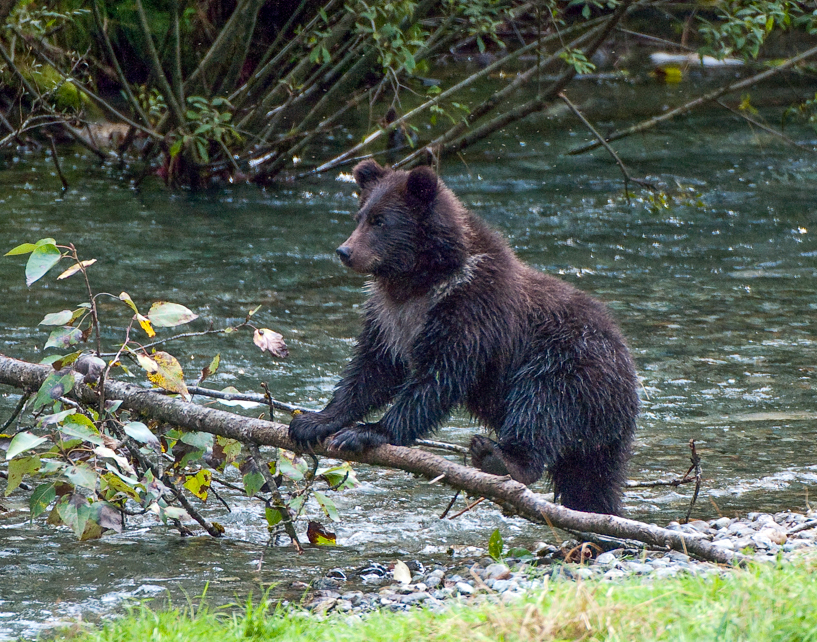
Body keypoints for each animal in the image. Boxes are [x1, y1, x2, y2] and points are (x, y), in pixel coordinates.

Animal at [288, 159, 640, 515]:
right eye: (359, 215)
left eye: (381, 221)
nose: (345, 250)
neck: (419, 280)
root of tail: (628, 369)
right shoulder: (389, 319)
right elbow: (371, 370)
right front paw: (313, 421)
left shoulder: (470, 309)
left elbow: (439, 376)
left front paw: (368, 432)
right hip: (597, 434)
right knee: (589, 483)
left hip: (569, 364)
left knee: (540, 404)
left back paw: (501, 457)